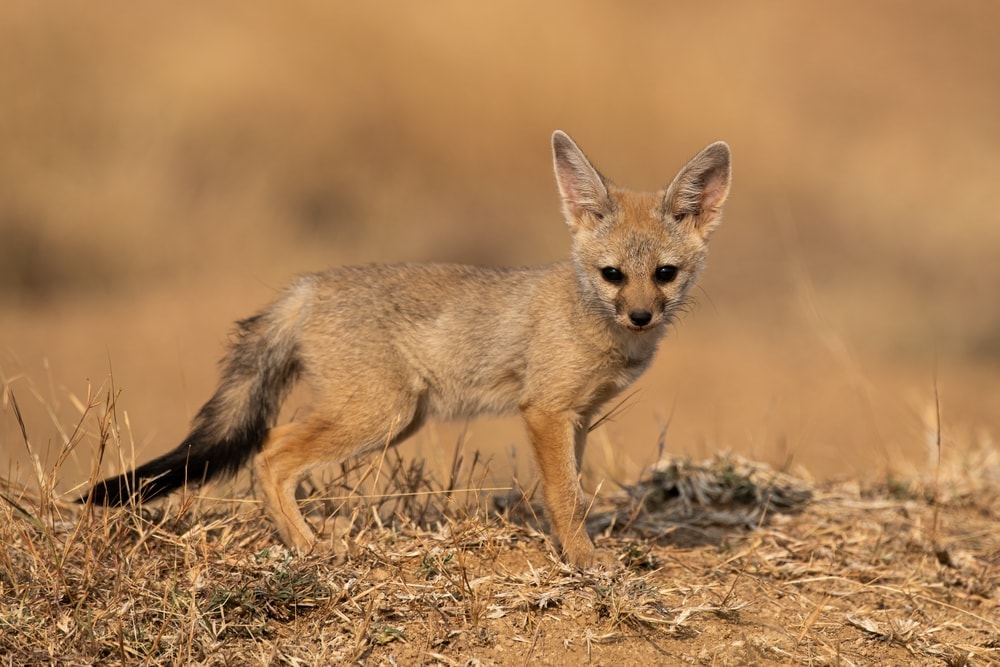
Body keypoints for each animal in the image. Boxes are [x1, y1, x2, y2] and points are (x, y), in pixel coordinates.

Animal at [83, 131, 731, 568]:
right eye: (613, 275)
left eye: (665, 274)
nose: (642, 316)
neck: (593, 322)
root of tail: (308, 286)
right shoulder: (545, 412)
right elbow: (566, 498)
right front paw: (584, 559)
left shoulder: (577, 419)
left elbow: (569, 493)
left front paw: (578, 549)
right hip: (379, 416)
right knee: (269, 452)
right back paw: (307, 545)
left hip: (397, 420)